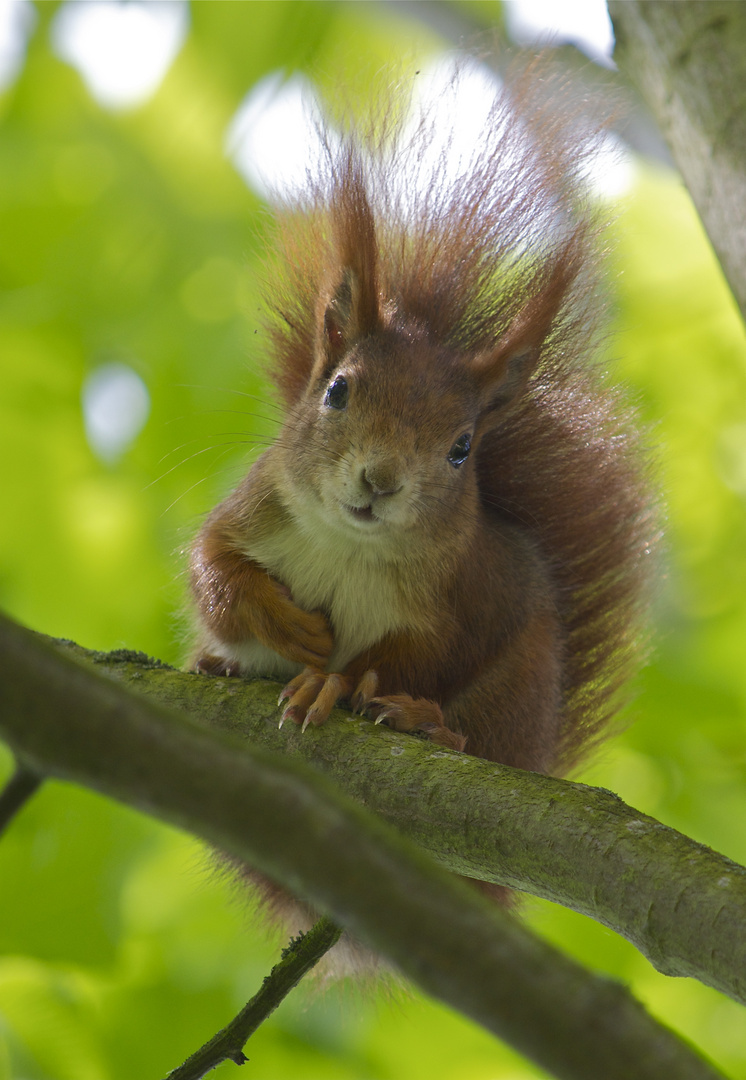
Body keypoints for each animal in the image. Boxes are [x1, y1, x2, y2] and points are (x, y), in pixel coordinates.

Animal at [191, 59, 652, 799]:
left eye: (462, 449)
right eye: (338, 390)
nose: (380, 481)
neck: (349, 545)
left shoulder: (472, 594)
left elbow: (422, 656)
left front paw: (335, 682)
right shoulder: (252, 509)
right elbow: (213, 572)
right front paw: (279, 625)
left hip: (520, 689)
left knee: (476, 735)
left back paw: (425, 724)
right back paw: (221, 665)